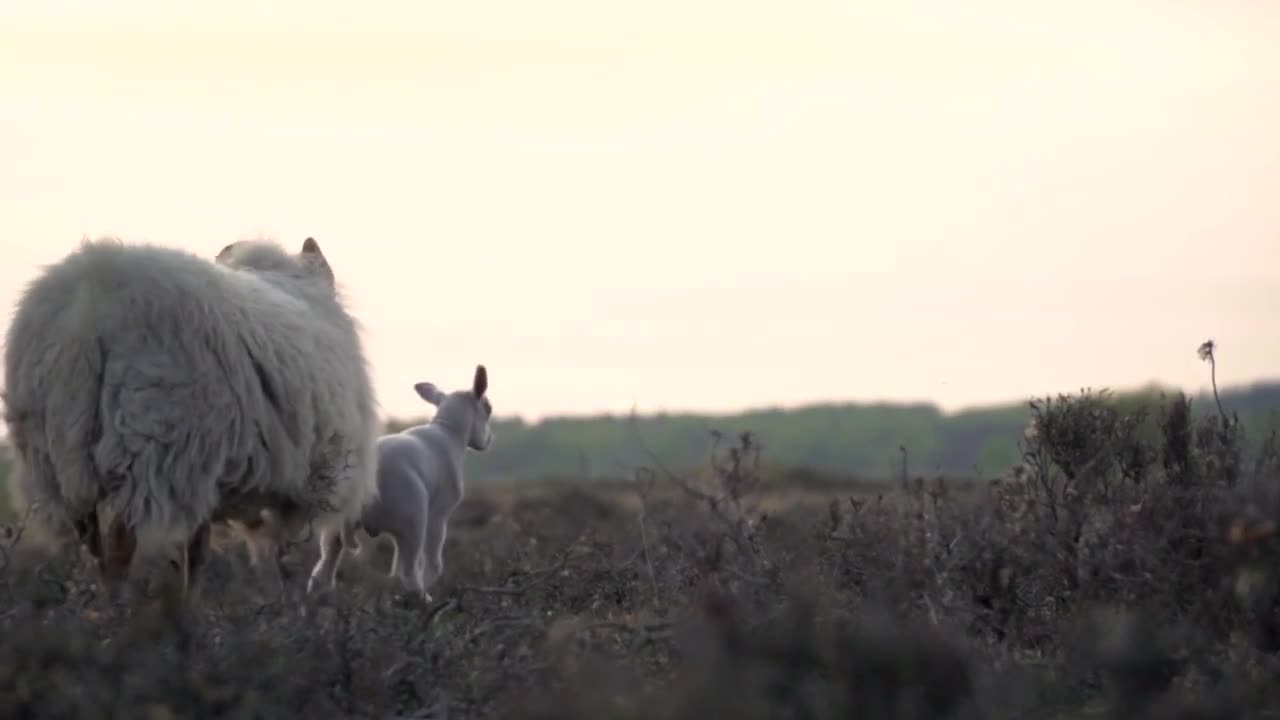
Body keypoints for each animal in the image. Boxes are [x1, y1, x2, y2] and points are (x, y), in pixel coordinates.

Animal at [0, 237, 376, 599]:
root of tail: (89, 309)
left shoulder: (205, 480)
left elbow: (197, 554)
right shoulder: (301, 486)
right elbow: (279, 557)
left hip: (55, 459)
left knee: (97, 552)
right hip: (150, 450)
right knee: (121, 550)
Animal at [304, 361, 494, 597]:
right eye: (488, 408)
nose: (489, 441)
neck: (449, 429)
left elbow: (396, 564)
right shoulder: (438, 516)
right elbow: (432, 563)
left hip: (334, 527)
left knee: (322, 570)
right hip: (413, 522)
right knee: (410, 572)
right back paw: (422, 598)